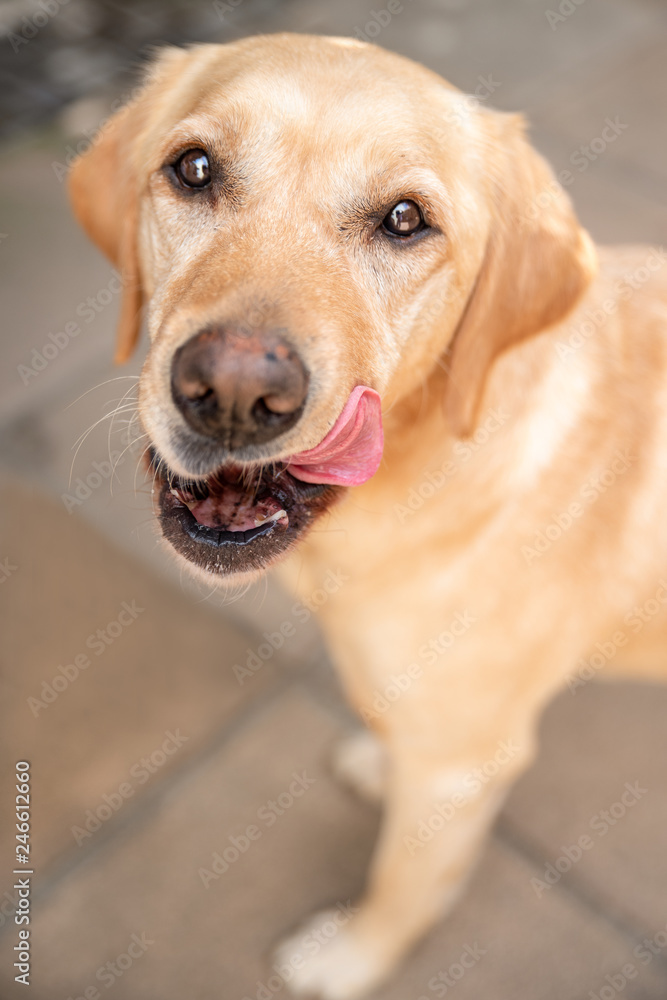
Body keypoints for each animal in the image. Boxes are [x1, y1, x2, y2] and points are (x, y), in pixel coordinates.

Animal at [69, 31, 667, 1000]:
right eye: (193, 168)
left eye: (403, 219)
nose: (233, 393)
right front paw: (377, 761)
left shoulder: (461, 766)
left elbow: (402, 880)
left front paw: (350, 957)